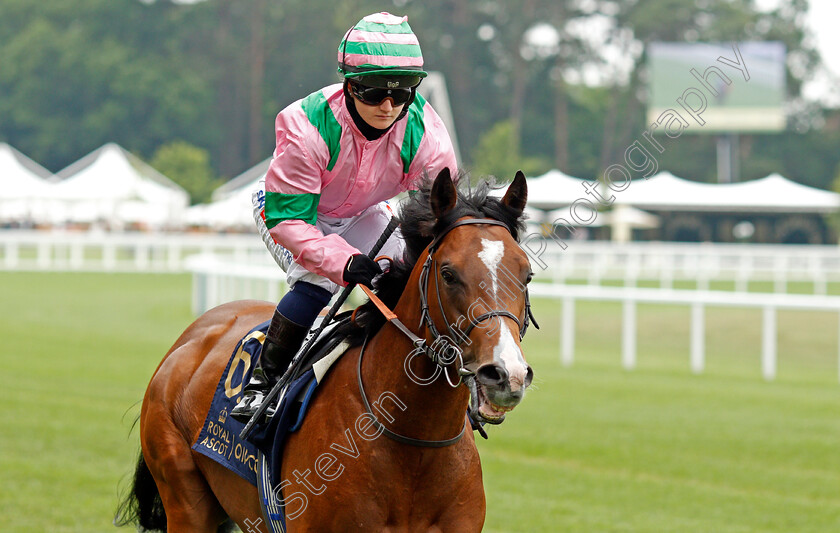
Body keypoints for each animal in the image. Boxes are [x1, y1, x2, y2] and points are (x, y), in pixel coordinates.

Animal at [115, 168, 536, 528]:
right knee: (310, 283)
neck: (413, 443)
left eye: (527, 273)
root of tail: (192, 336)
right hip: (184, 497)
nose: (505, 375)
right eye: (448, 273)